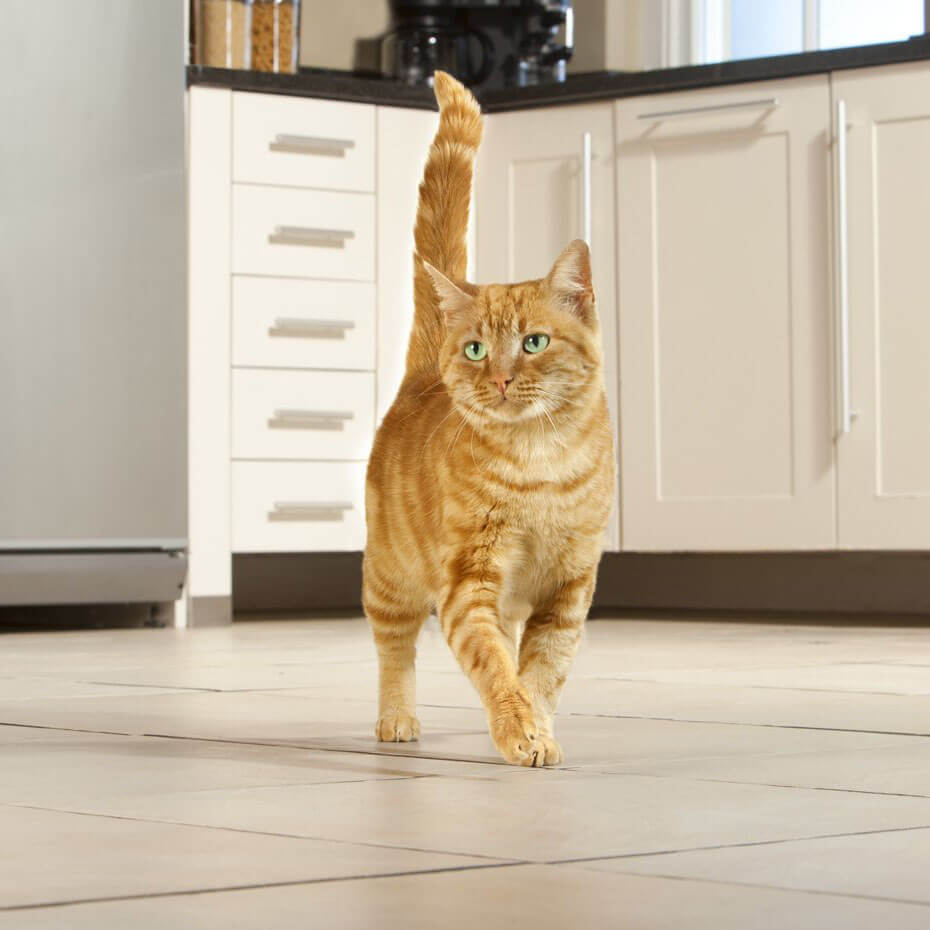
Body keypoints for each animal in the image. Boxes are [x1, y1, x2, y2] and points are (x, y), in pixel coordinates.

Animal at [364, 72, 616, 764]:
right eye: (477, 349)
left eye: (534, 342)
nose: (500, 378)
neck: (539, 465)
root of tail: (420, 375)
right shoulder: (467, 584)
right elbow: (496, 667)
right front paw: (519, 729)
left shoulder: (569, 587)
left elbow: (541, 669)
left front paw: (538, 729)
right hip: (389, 576)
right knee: (394, 650)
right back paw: (397, 720)